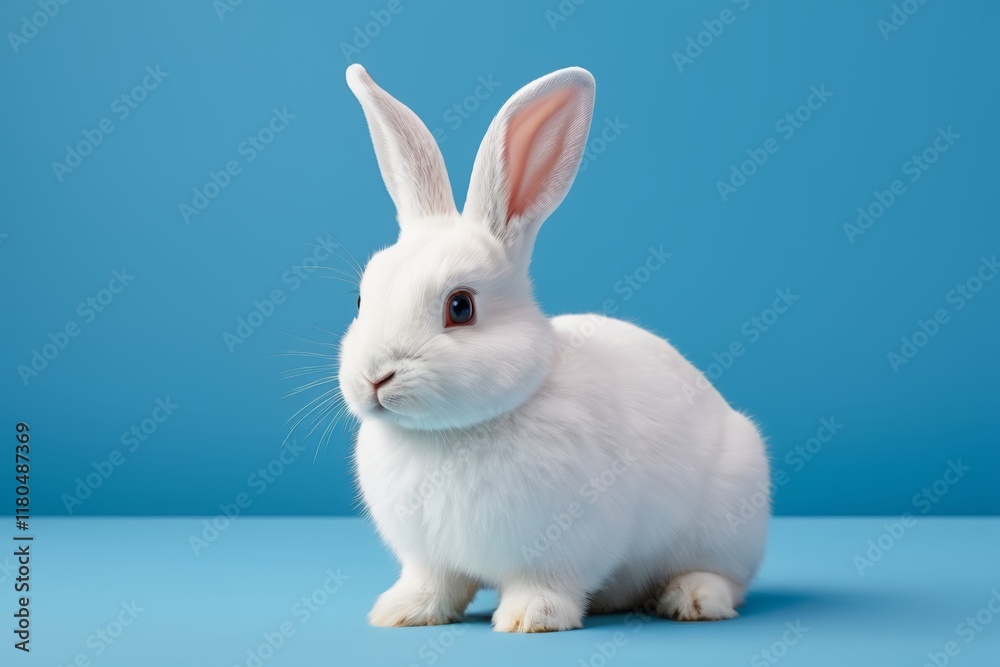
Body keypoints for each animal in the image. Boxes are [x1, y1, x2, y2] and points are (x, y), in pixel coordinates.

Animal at [338, 64, 770, 633]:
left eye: (460, 307)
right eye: (361, 298)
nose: (373, 378)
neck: (453, 432)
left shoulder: (564, 548)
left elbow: (547, 583)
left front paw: (530, 618)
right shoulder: (430, 558)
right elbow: (434, 585)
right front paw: (401, 612)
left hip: (727, 520)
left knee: (726, 578)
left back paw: (693, 599)